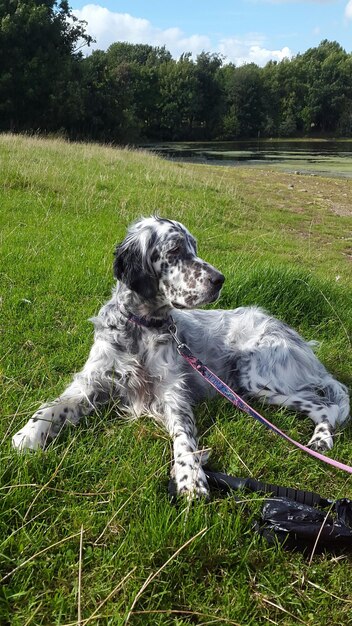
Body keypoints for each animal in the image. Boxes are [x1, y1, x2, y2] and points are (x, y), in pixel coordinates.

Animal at [12, 217, 350, 494]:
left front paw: (190, 478)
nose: (219, 279)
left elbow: (184, 439)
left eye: (195, 247)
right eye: (174, 249)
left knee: (327, 404)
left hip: (257, 377)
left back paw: (321, 439)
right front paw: (28, 436)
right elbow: (50, 408)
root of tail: (297, 338)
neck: (141, 328)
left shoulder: (173, 394)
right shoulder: (90, 383)